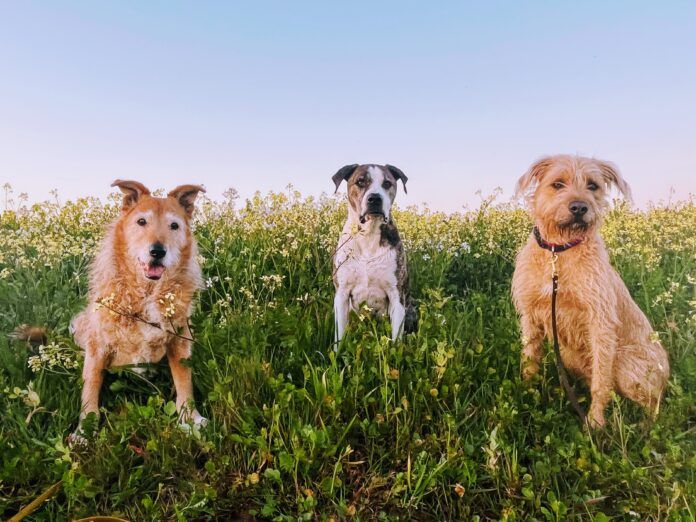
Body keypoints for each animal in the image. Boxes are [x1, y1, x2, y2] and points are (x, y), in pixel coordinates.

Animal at [71, 181, 207, 436]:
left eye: (174, 226)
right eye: (142, 221)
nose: (158, 251)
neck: (147, 294)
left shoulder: (180, 340)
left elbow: (184, 380)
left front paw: (190, 417)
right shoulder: (97, 345)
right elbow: (91, 385)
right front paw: (85, 431)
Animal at [334, 164, 418, 342]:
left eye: (387, 183)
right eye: (360, 181)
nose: (375, 198)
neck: (369, 235)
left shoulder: (397, 296)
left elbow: (396, 338)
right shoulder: (341, 294)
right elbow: (339, 335)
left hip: (410, 310)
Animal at [512, 154, 668, 426]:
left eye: (592, 185)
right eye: (558, 184)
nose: (579, 207)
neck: (558, 252)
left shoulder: (600, 323)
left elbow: (601, 381)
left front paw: (595, 422)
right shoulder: (531, 315)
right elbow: (530, 359)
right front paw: (527, 395)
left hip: (626, 363)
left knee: (653, 407)